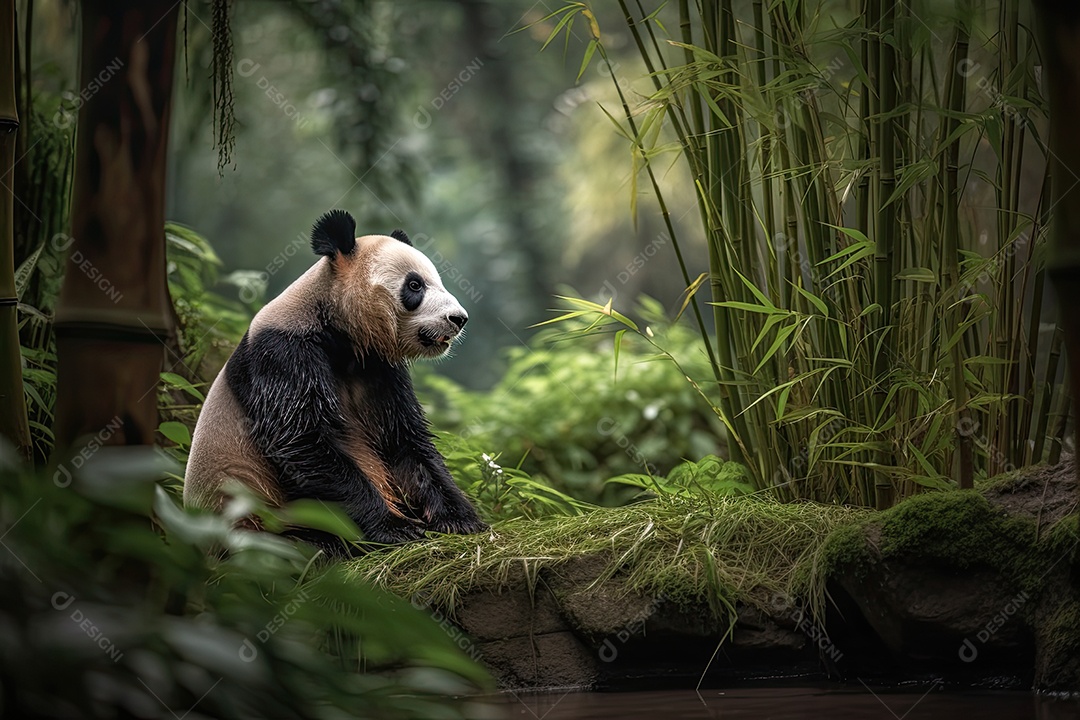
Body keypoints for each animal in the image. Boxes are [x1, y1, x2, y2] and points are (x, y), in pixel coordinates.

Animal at [183, 209, 487, 551]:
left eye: (437, 281)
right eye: (414, 285)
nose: (458, 318)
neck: (334, 324)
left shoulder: (377, 367)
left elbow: (404, 438)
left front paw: (459, 517)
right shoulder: (282, 354)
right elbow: (302, 441)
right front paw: (396, 526)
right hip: (251, 519)